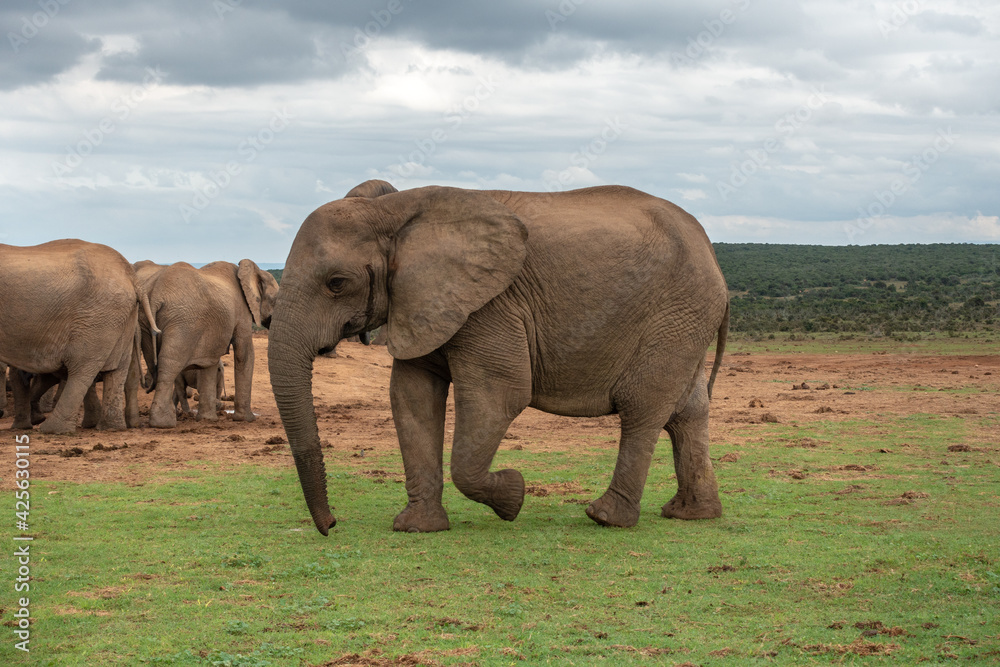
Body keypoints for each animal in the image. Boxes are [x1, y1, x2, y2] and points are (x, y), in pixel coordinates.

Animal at [0, 239, 158, 434]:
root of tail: (131, 277)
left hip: (96, 318)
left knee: (82, 368)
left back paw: (52, 429)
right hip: (120, 317)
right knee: (116, 369)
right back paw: (109, 428)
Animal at [141, 259, 279, 428]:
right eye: (276, 300)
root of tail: (155, 294)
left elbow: (209, 362)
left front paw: (207, 419)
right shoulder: (242, 312)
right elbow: (244, 353)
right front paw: (247, 419)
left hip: (145, 321)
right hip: (183, 322)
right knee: (169, 364)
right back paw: (164, 423)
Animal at [268, 182, 730, 535]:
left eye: (336, 283)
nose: (331, 525)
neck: (395, 212)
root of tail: (710, 251)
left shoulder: (491, 305)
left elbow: (500, 395)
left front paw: (513, 496)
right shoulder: (421, 302)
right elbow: (411, 397)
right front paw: (417, 528)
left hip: (676, 314)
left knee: (642, 408)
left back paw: (605, 517)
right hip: (686, 320)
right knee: (687, 411)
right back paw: (691, 514)